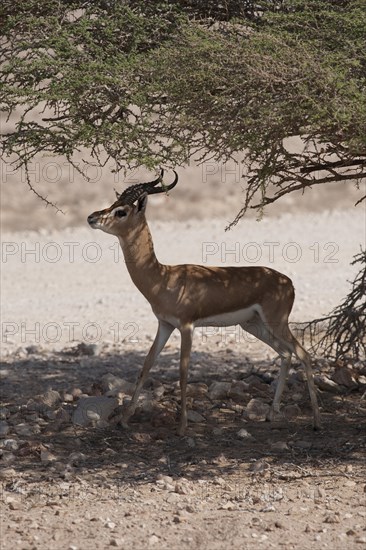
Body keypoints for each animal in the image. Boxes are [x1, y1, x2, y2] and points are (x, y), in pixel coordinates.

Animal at [88, 170, 320, 438]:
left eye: (121, 211)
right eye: (113, 204)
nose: (91, 218)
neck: (163, 278)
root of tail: (288, 282)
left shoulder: (187, 326)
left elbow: (183, 371)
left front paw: (182, 427)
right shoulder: (165, 325)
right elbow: (146, 365)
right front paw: (124, 420)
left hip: (277, 323)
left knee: (303, 353)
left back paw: (316, 421)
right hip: (254, 325)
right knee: (285, 354)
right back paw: (271, 414)